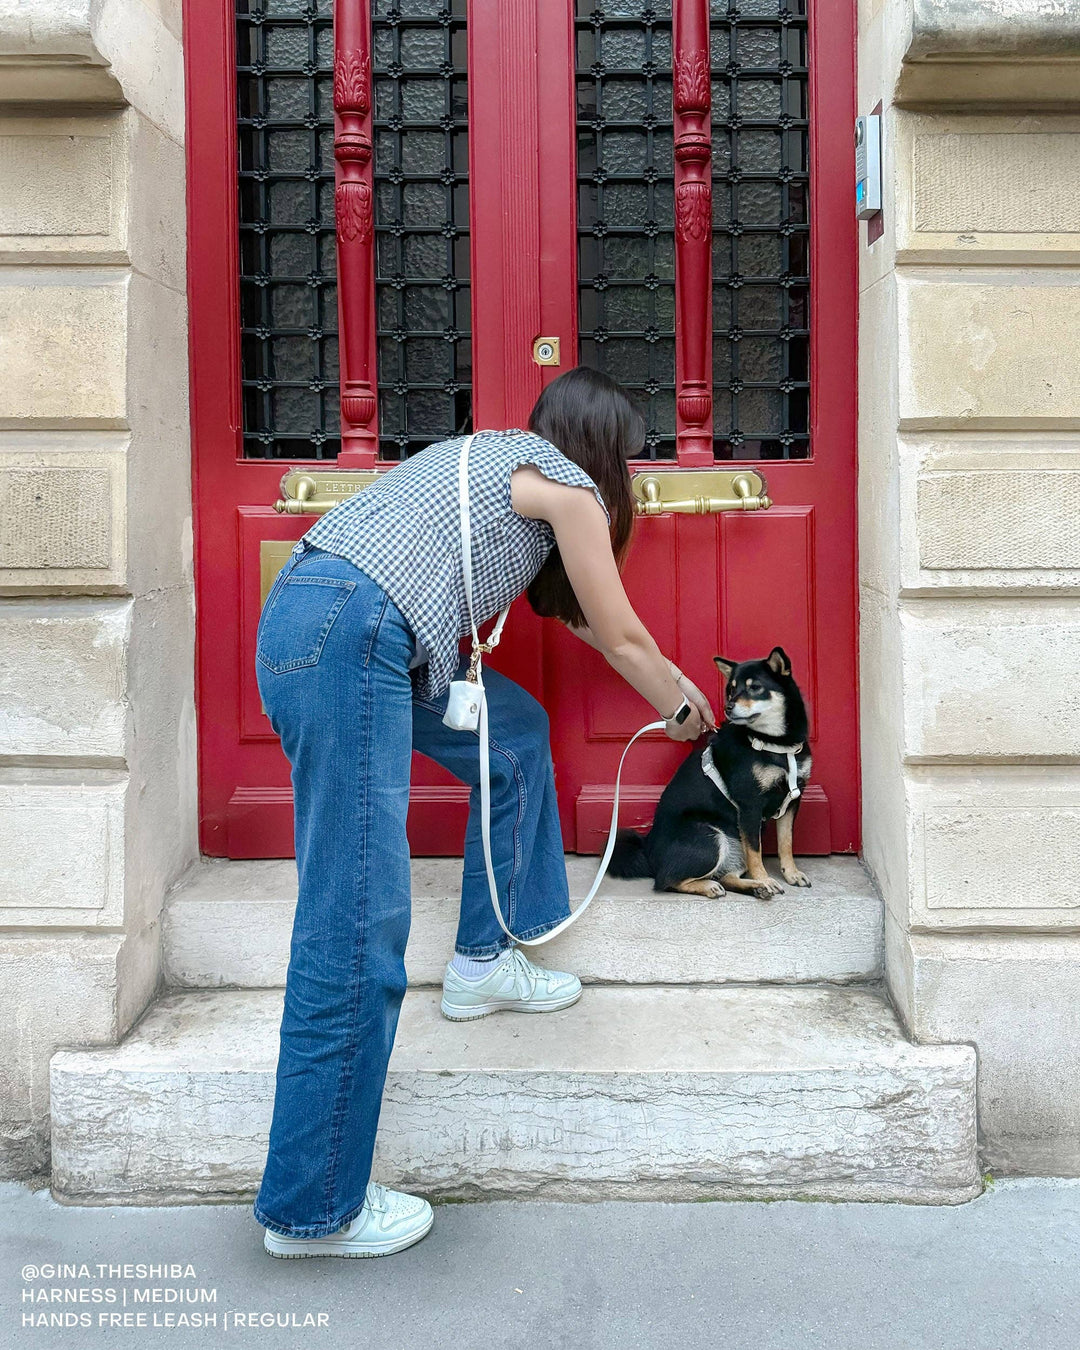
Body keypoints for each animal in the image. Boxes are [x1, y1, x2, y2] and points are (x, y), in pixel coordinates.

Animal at [612, 648, 815, 901]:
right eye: (731, 690)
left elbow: (786, 843)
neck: (776, 744)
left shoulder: (792, 801)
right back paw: (714, 886)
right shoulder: (750, 805)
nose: (728, 707)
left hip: (733, 840)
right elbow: (756, 853)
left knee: (727, 876)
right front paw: (765, 878)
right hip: (709, 836)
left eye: (755, 687)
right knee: (667, 880)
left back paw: (754, 887)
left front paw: (791, 873)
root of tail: (648, 849)